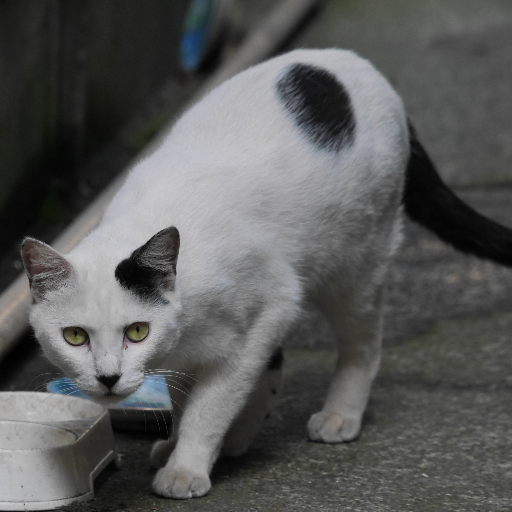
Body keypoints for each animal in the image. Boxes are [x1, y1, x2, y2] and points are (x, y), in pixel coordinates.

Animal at [20, 47, 512, 496]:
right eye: (75, 337)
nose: (108, 378)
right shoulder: (197, 346)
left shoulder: (269, 307)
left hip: (358, 267)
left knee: (363, 345)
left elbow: (209, 407)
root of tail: (361, 65)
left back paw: (340, 415)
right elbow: (185, 397)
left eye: (137, 332)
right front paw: (180, 443)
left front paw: (187, 466)